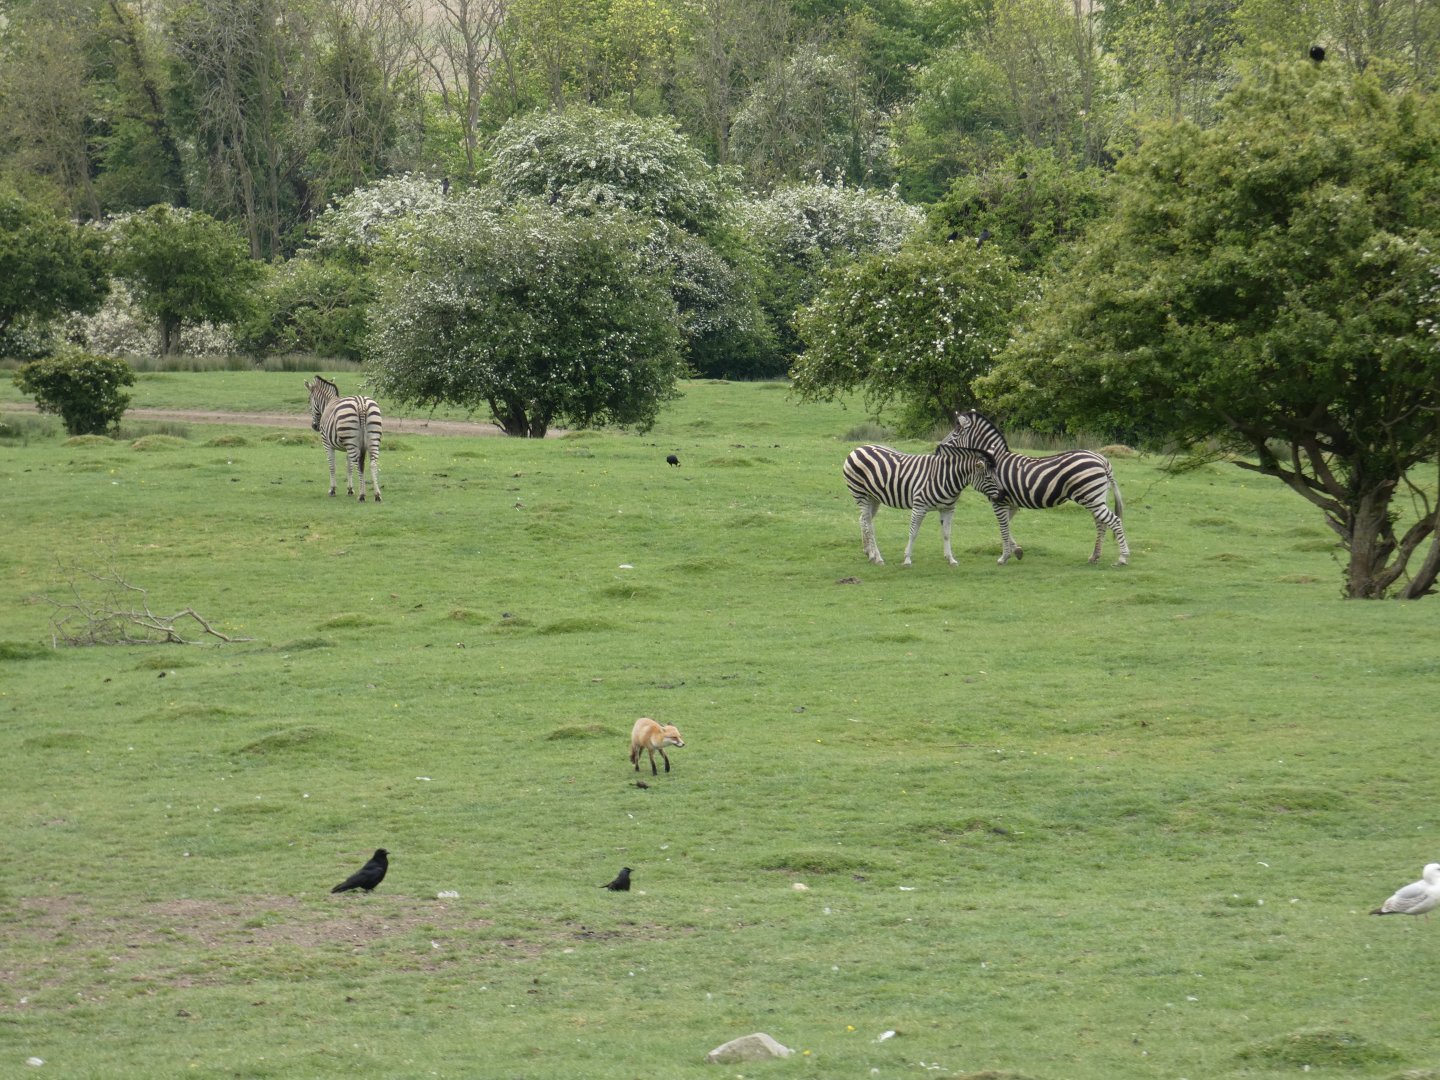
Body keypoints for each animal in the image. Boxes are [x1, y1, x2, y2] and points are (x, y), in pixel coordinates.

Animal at [842, 426, 999, 567]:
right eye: (988, 477)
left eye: (995, 475)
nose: (1001, 495)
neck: (945, 476)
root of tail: (858, 448)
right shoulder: (919, 507)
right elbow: (913, 533)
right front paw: (907, 559)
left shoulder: (948, 509)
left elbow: (947, 533)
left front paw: (951, 559)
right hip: (860, 494)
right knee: (869, 524)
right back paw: (878, 558)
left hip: (874, 497)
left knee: (863, 520)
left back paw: (870, 553)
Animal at [950, 409, 1129, 565]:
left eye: (954, 434)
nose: (943, 449)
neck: (995, 461)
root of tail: (1102, 460)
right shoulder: (1011, 503)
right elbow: (1005, 525)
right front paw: (1017, 551)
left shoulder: (998, 500)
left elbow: (1003, 527)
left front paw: (1004, 557)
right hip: (1096, 497)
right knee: (1102, 523)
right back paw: (1095, 556)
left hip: (1090, 497)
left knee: (1114, 521)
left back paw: (1122, 558)